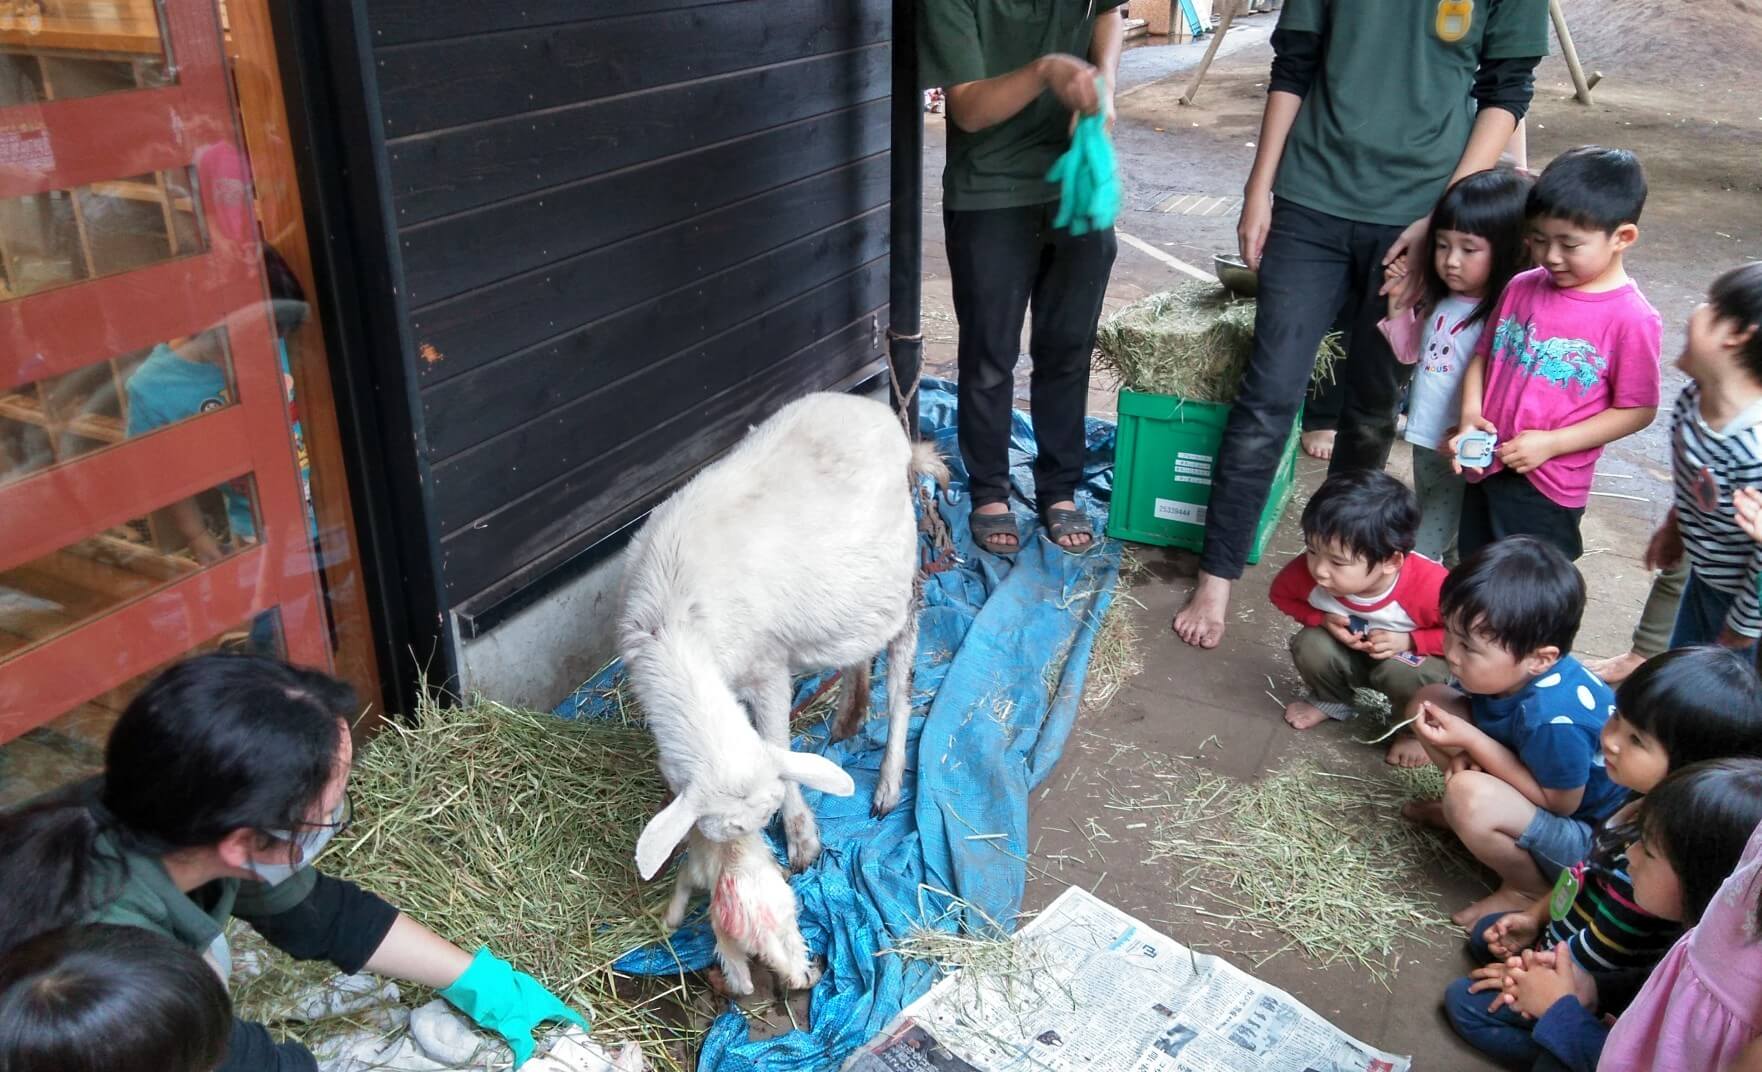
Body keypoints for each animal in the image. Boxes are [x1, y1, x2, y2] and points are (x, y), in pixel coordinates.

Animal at [623, 389, 951, 874]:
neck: (673, 625)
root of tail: (883, 416)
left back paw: (888, 785)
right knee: (858, 649)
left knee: (901, 678)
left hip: (899, 578)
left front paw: (802, 841)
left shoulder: (767, 669)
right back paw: (849, 715)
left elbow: (778, 741)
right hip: (854, 593)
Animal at [662, 828, 821, 994]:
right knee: (793, 969)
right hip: (785, 925)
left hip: (727, 938)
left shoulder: (698, 869)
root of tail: (761, 932)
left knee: (744, 983)